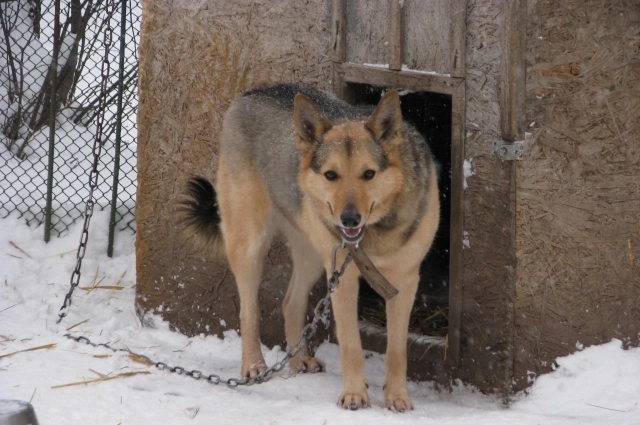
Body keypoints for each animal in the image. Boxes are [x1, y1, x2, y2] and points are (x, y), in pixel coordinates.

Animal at [180, 83, 440, 410]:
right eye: (331, 175)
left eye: (369, 174)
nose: (349, 219)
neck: (375, 232)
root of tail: (254, 91)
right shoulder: (345, 280)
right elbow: (351, 345)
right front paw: (354, 395)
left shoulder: (404, 282)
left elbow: (397, 350)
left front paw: (397, 396)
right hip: (251, 246)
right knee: (249, 311)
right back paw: (254, 366)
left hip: (315, 258)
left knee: (290, 302)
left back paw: (298, 359)